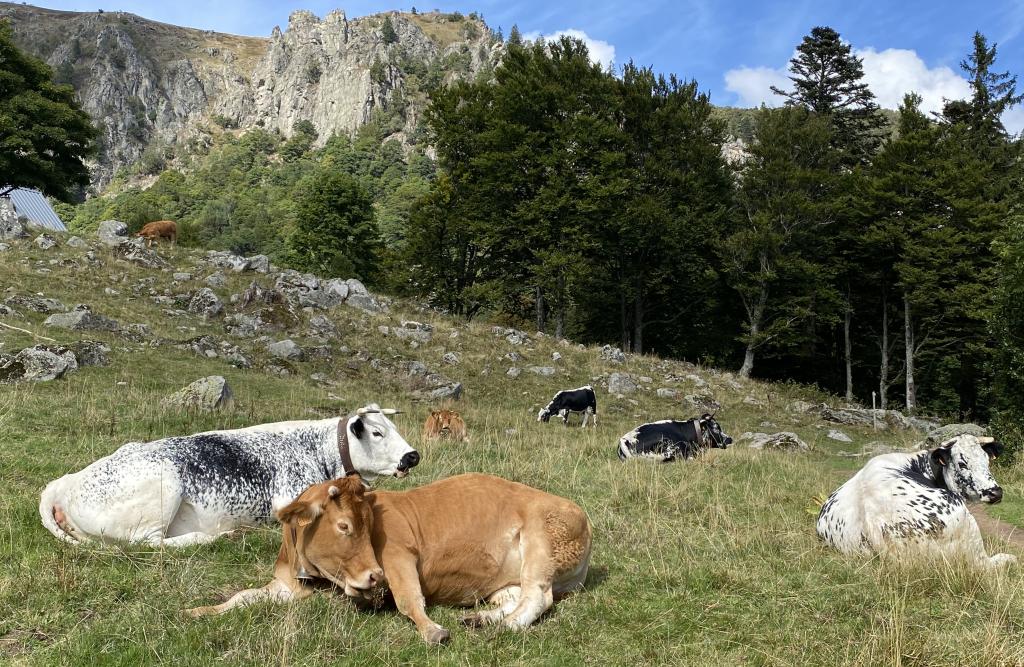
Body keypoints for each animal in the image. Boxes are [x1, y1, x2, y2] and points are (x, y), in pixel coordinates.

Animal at [38, 405, 419, 547]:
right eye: (377, 433)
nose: (412, 455)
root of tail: (64, 483)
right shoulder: (287, 496)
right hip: (163, 485)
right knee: (149, 543)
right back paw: (213, 536)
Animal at [187, 473, 592, 644]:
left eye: (369, 525)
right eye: (345, 526)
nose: (372, 576)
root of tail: (581, 514)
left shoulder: (398, 557)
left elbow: (408, 600)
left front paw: (432, 630)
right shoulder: (285, 585)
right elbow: (242, 597)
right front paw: (199, 611)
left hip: (541, 541)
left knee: (538, 596)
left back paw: (502, 627)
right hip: (503, 581)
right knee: (517, 598)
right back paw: (481, 620)